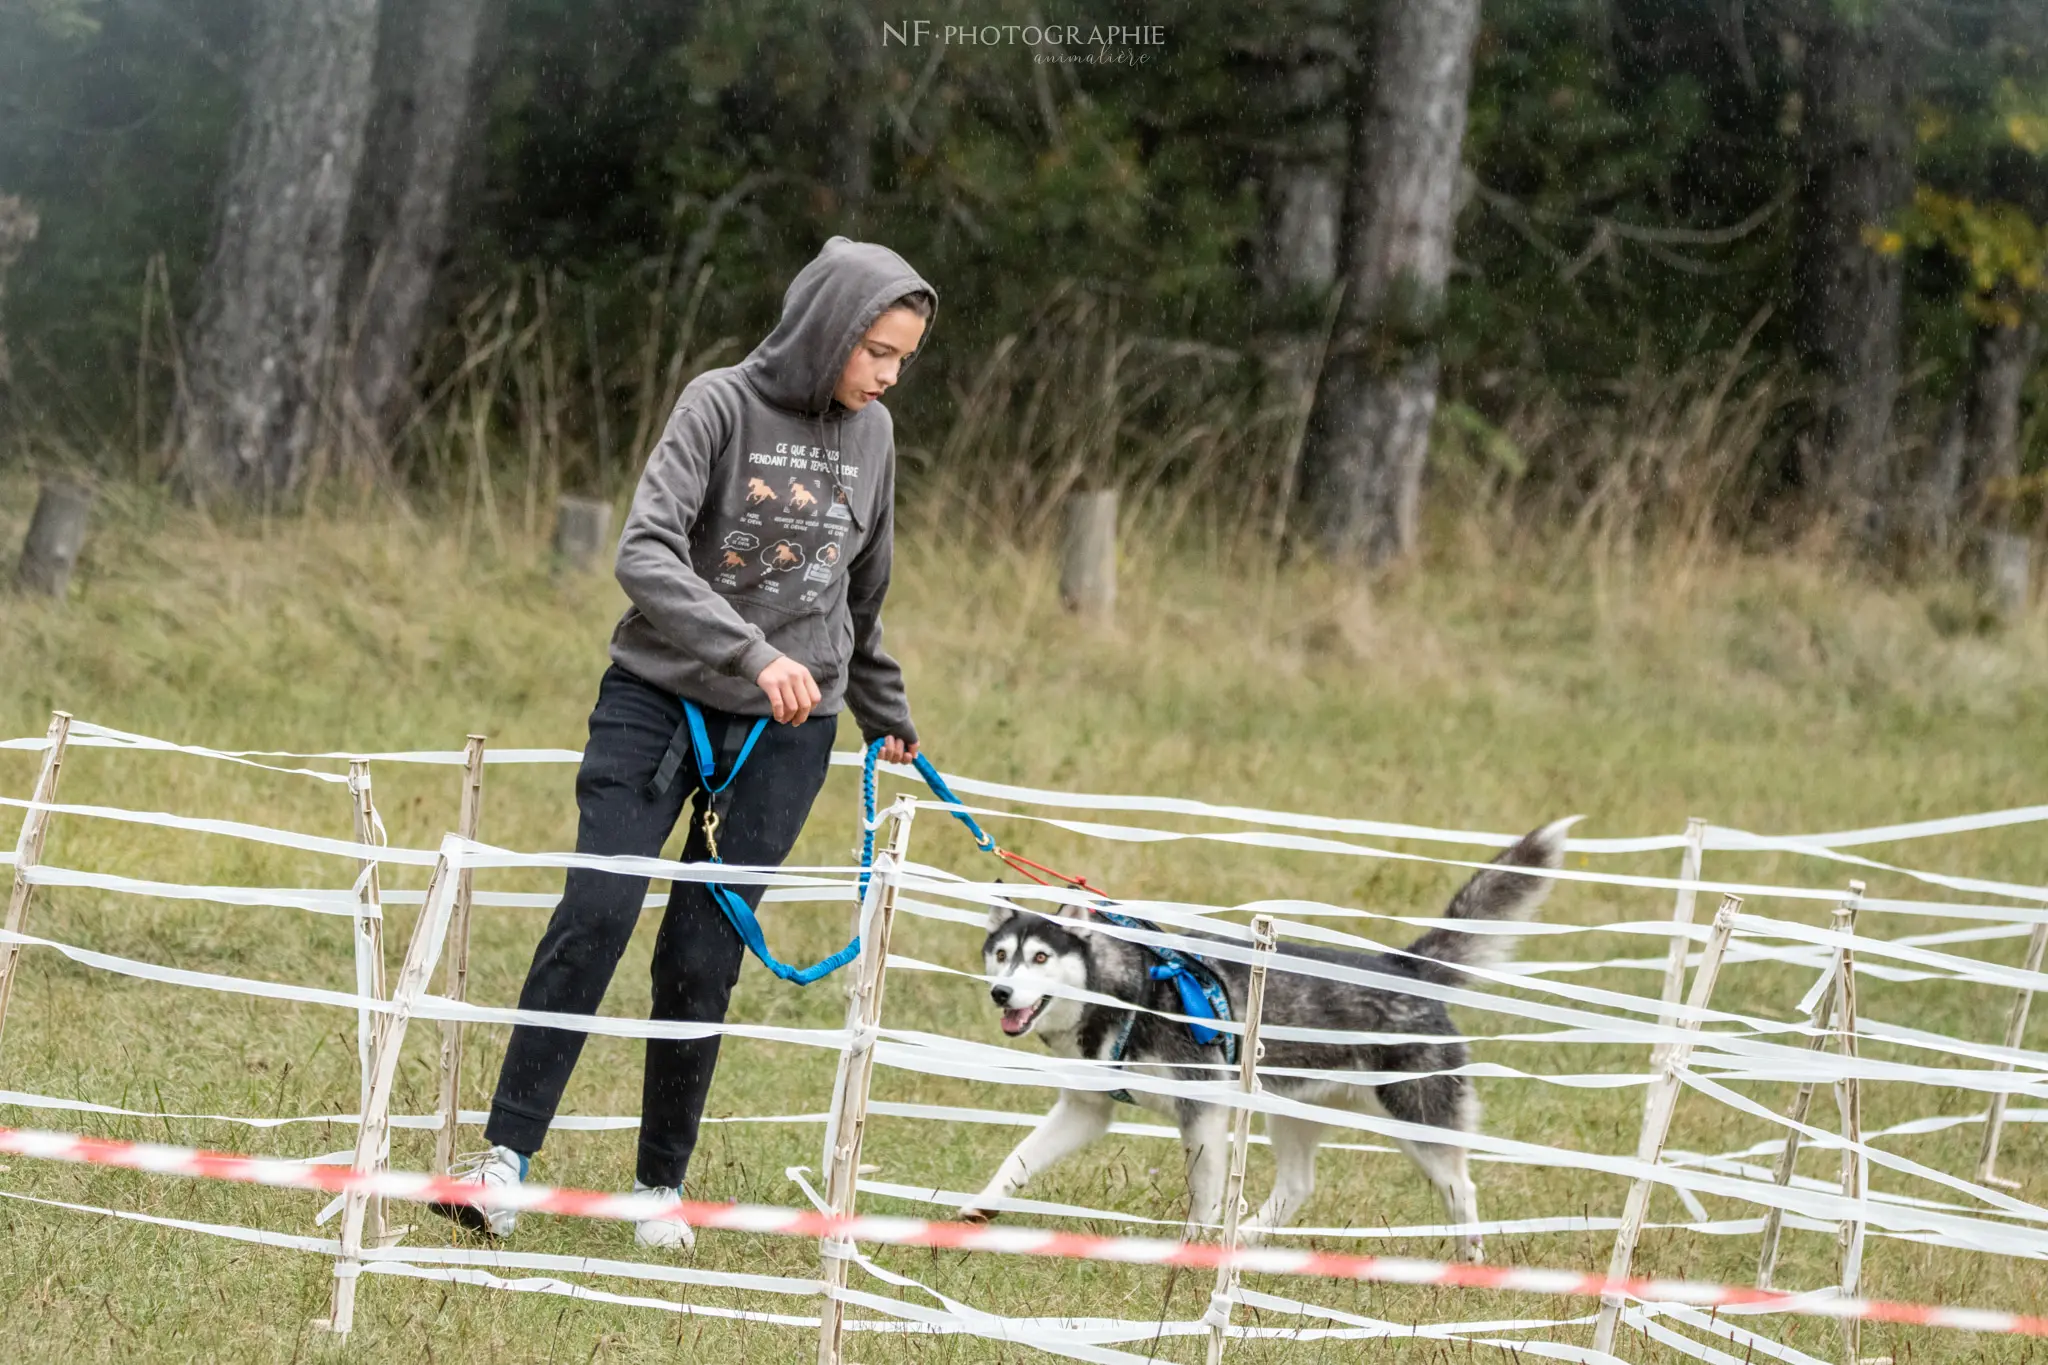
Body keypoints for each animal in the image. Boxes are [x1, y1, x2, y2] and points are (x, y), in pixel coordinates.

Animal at [966, 818, 1572, 1268]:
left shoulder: (1203, 1111)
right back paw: (1249, 1239)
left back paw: (1470, 1259)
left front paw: (1189, 1252)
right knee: (1299, 1185)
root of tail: (1404, 967)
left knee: (1460, 1187)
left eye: (1040, 957)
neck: (1132, 994)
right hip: (1293, 1111)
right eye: (1002, 955)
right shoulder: (1086, 1110)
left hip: (1416, 1118)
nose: (1001, 993)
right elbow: (1017, 1159)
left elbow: (1203, 1197)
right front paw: (978, 1210)